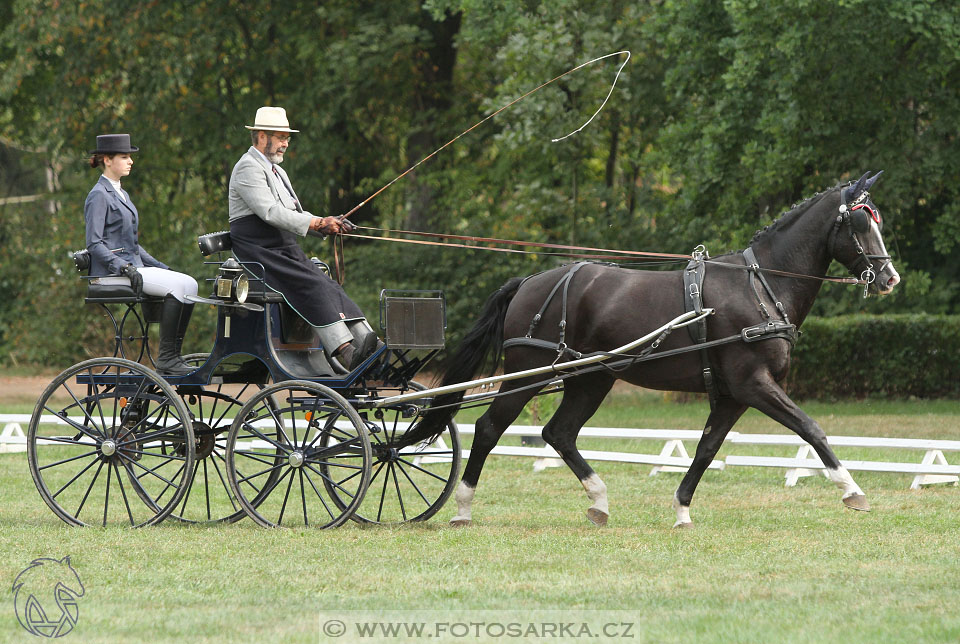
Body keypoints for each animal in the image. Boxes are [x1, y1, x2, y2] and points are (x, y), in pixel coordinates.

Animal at [406, 172, 900, 528]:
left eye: (877, 220)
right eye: (861, 222)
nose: (890, 278)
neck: (760, 285)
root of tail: (530, 281)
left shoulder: (732, 395)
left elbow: (707, 449)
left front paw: (682, 510)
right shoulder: (753, 384)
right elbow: (811, 429)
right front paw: (852, 491)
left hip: (592, 379)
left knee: (558, 433)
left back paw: (599, 502)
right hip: (532, 373)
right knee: (489, 428)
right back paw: (463, 507)